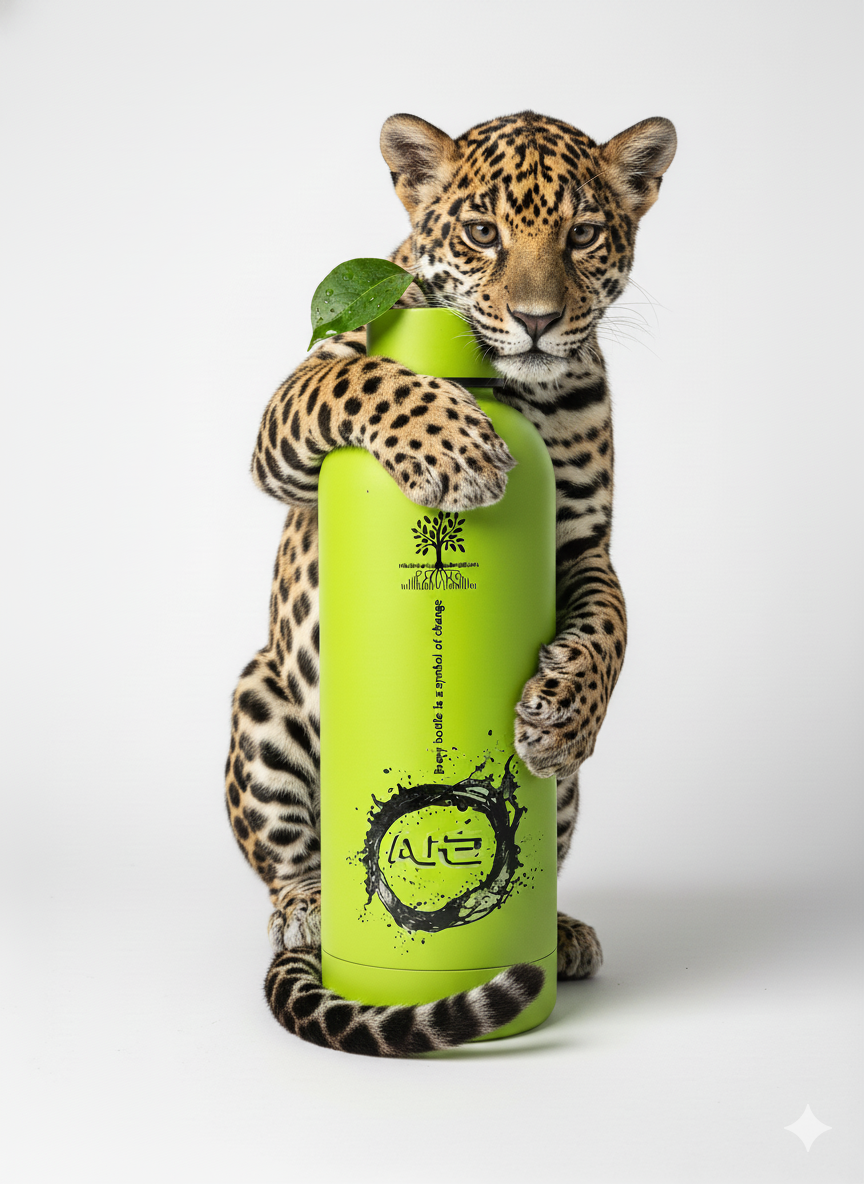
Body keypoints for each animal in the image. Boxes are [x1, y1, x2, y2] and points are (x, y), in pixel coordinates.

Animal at [226, 109, 676, 1056]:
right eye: (482, 233)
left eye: (583, 235)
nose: (538, 321)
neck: (519, 394)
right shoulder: (288, 423)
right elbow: (361, 375)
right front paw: (459, 449)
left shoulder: (582, 544)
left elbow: (612, 623)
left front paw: (563, 712)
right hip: (260, 700)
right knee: (285, 858)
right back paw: (308, 909)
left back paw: (561, 932)